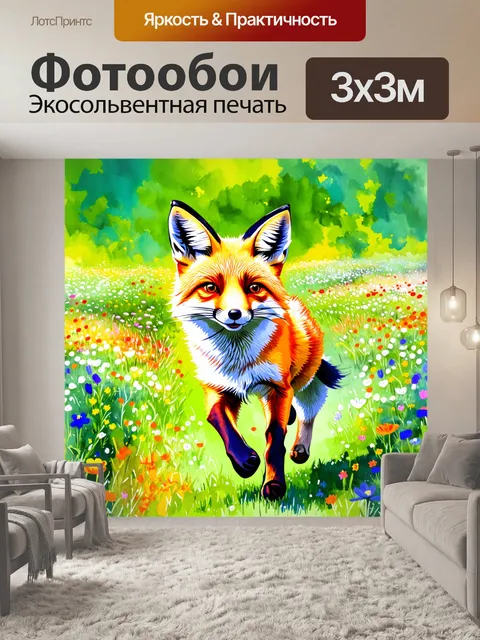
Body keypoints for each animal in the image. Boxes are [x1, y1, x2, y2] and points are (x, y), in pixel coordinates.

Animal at [168, 200, 343, 501]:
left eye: (254, 288)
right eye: (211, 287)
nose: (234, 314)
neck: (238, 361)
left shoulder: (277, 387)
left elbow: (275, 438)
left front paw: (274, 485)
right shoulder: (217, 386)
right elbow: (219, 421)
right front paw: (245, 461)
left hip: (303, 377)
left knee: (308, 410)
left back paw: (301, 447)